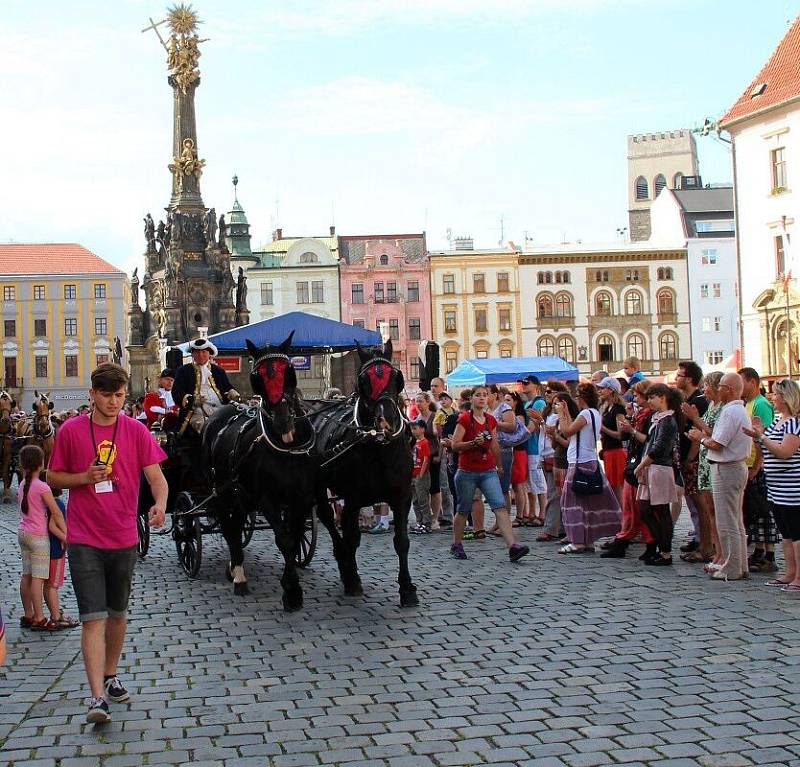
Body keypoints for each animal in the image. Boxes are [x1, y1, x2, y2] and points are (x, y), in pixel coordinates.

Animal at [202, 332, 318, 608]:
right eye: (257, 377)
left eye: (289, 371)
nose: (283, 421)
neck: (288, 447)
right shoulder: (267, 499)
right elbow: (283, 538)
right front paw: (292, 591)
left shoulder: (301, 498)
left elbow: (294, 536)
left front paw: (290, 583)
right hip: (222, 492)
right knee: (229, 528)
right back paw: (239, 575)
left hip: (240, 496)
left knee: (237, 524)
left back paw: (234, 567)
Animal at [306, 340, 418, 608]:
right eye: (363, 380)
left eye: (396, 377)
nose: (386, 422)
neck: (378, 446)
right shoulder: (354, 497)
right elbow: (353, 536)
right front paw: (352, 578)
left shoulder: (402, 497)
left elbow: (402, 542)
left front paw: (407, 588)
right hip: (320, 488)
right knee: (328, 518)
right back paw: (345, 565)